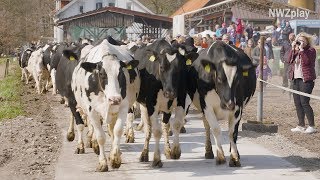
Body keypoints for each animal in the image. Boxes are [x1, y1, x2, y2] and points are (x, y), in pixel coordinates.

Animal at [72, 39, 139, 172]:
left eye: (121, 74)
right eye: (102, 74)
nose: (115, 99)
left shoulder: (123, 107)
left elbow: (117, 131)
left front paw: (115, 158)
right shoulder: (92, 111)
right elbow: (101, 137)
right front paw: (102, 163)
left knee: (112, 130)